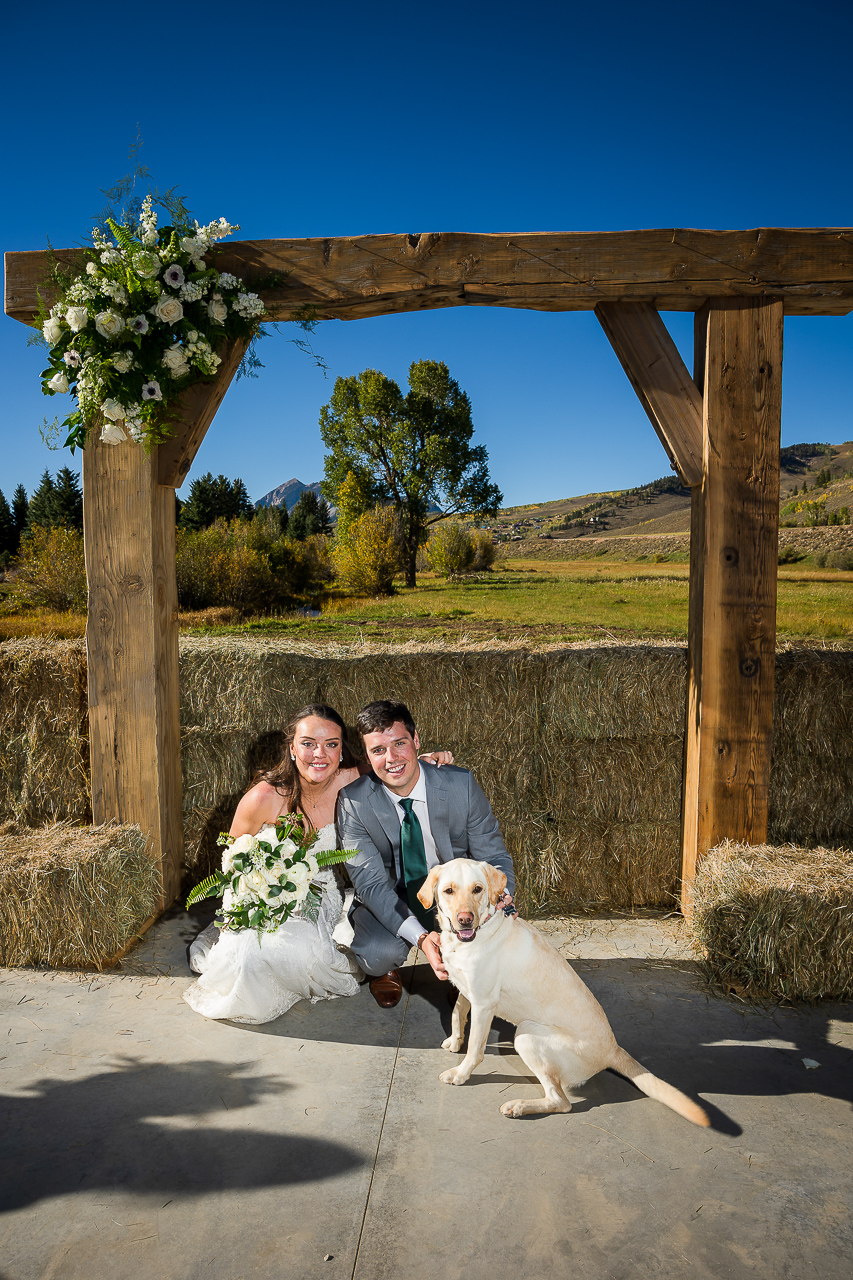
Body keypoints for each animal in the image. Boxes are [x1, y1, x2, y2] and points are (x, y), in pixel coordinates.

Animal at [417, 855, 701, 1126]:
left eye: (477, 889)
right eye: (449, 890)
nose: (465, 920)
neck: (471, 937)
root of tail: (613, 1049)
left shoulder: (484, 1004)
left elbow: (476, 1049)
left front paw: (460, 1074)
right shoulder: (468, 991)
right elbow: (457, 1013)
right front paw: (455, 1041)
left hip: (526, 1034)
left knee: (561, 1102)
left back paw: (519, 1106)